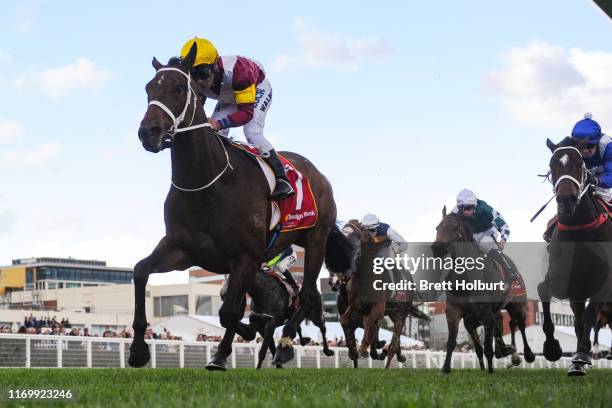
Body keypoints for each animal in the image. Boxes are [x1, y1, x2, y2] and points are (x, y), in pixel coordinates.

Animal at [129, 43, 354, 368]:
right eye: (149, 88)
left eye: (178, 88)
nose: (149, 132)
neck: (209, 184)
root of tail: (317, 173)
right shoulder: (182, 249)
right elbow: (139, 272)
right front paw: (137, 350)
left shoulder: (246, 256)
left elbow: (230, 314)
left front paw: (241, 339)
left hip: (316, 240)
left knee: (309, 294)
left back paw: (285, 344)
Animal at [338, 220, 428, 370]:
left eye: (356, 236)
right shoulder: (353, 305)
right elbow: (344, 319)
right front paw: (356, 350)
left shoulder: (378, 309)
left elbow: (369, 323)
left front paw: (364, 349)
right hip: (392, 313)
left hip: (401, 313)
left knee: (394, 344)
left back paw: (388, 362)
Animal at [430, 212, 532, 374]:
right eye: (437, 227)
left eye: (454, 228)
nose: (437, 249)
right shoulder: (454, 311)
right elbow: (452, 342)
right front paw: (445, 368)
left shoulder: (486, 314)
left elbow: (487, 347)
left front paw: (489, 371)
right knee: (508, 323)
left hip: (517, 304)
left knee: (520, 324)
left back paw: (526, 354)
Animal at [536, 137, 612, 376]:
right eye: (552, 165)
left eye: (580, 164)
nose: (566, 199)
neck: (579, 236)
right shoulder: (564, 283)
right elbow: (544, 292)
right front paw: (552, 348)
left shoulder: (603, 284)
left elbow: (590, 315)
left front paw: (581, 354)